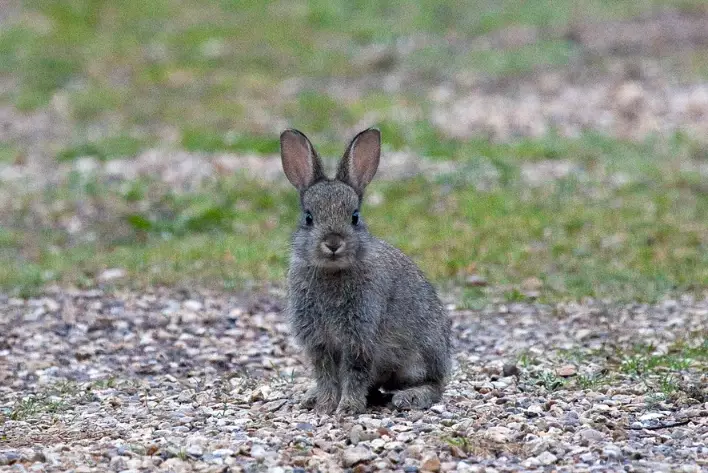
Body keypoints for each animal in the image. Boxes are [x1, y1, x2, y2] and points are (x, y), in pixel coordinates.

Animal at [280, 127, 452, 414]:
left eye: (354, 217)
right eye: (308, 218)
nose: (333, 243)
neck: (332, 272)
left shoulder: (360, 336)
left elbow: (355, 372)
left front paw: (348, 406)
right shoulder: (319, 342)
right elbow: (326, 374)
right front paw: (325, 404)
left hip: (417, 358)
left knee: (434, 384)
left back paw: (410, 397)